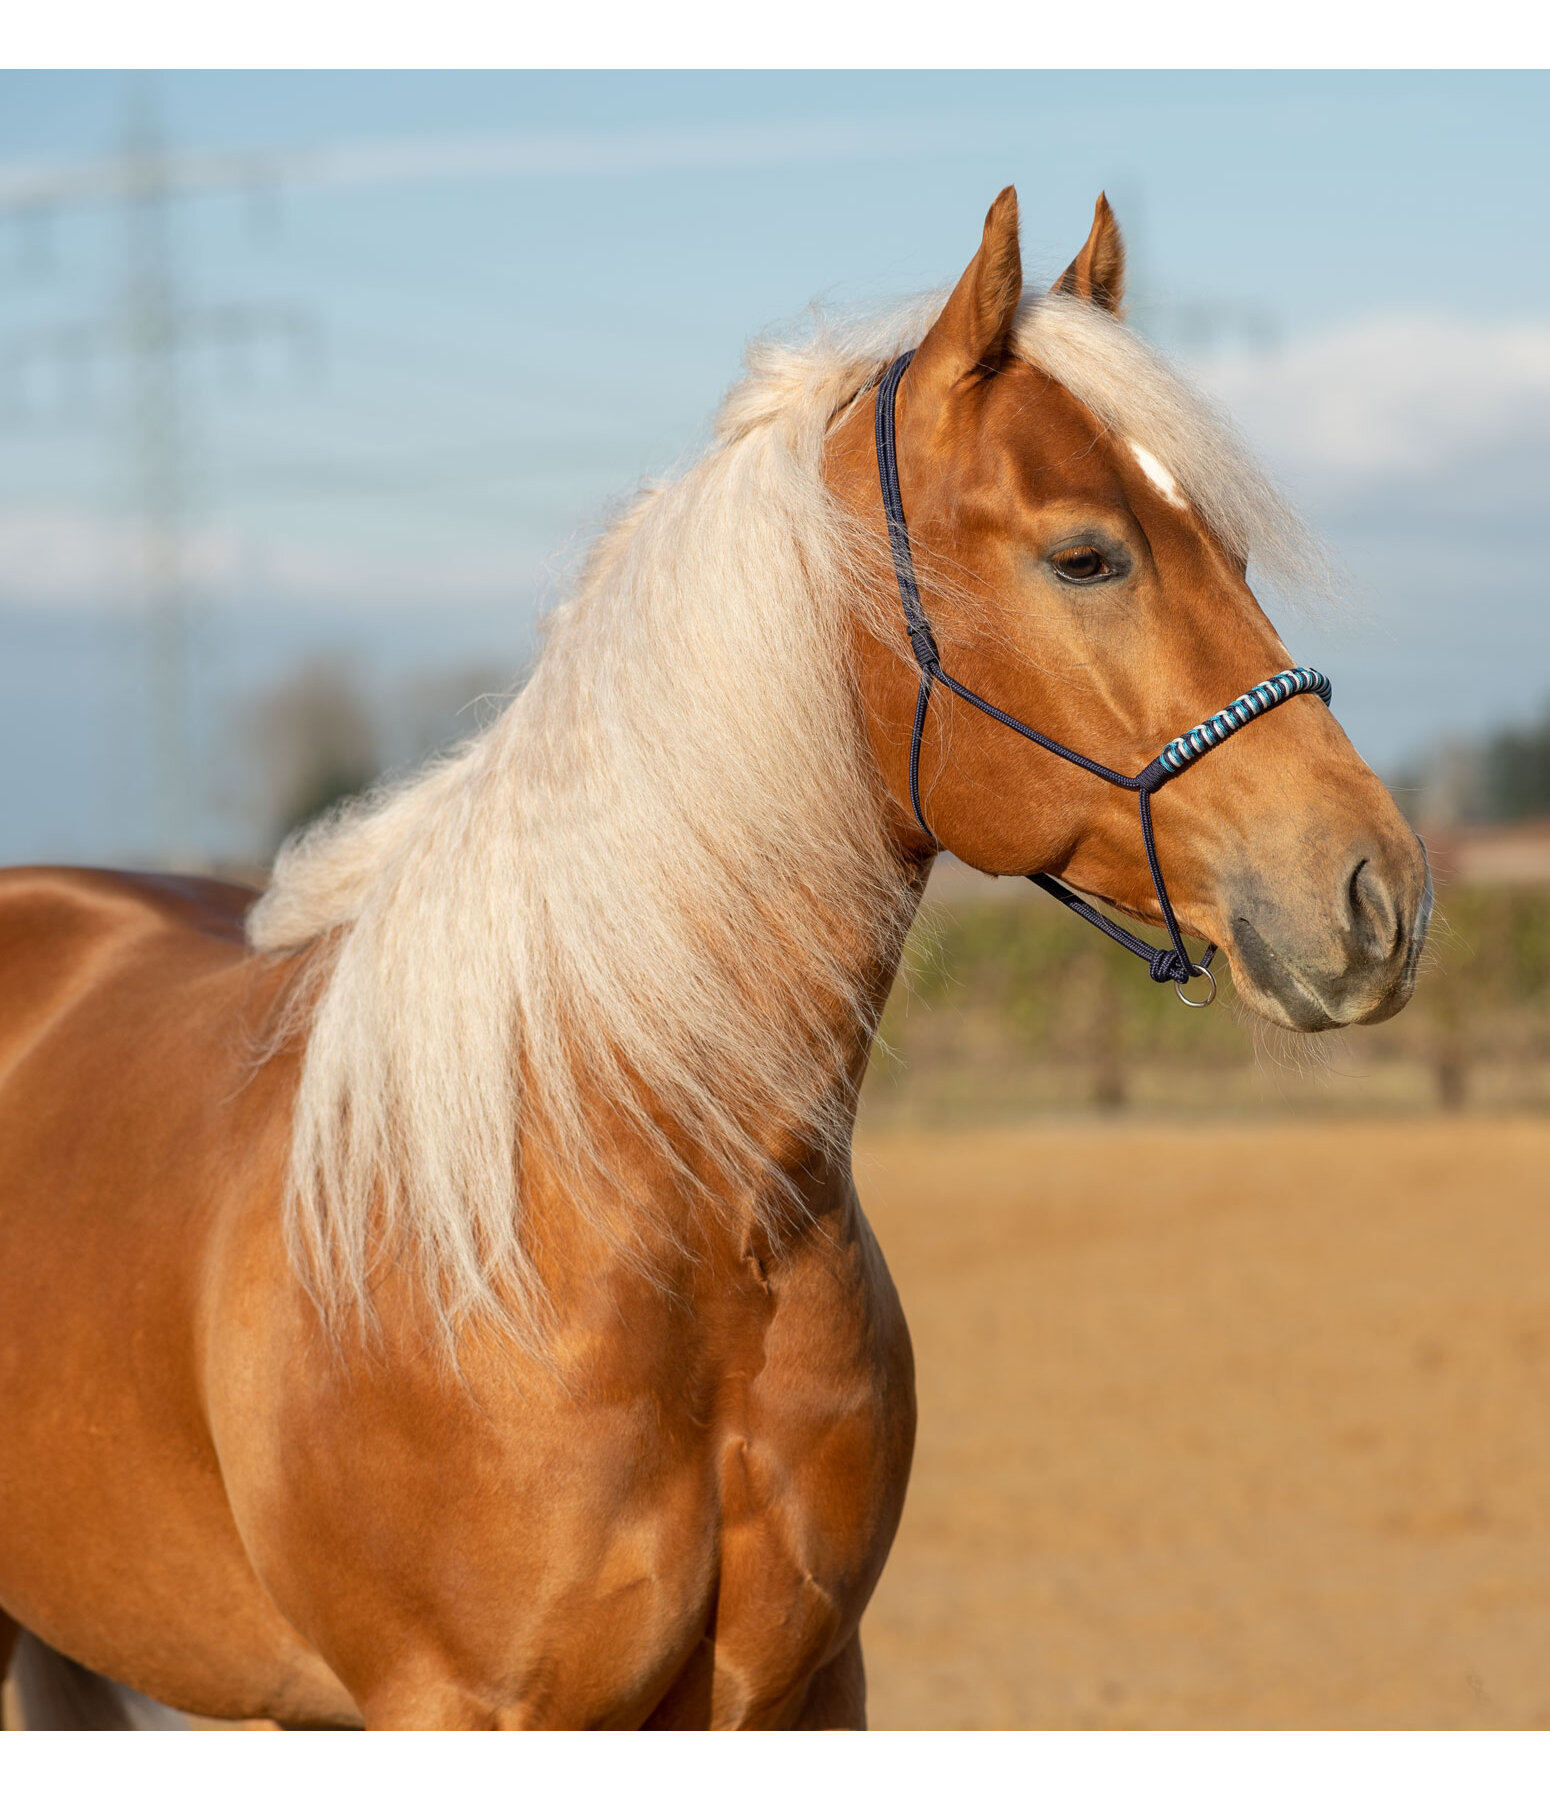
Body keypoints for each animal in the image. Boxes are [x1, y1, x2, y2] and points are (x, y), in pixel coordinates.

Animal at [0, 186, 1425, 1728]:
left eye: (1232, 552)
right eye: (1085, 554)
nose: (1375, 893)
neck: (604, 1193)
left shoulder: (806, 1688)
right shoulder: (458, 1704)